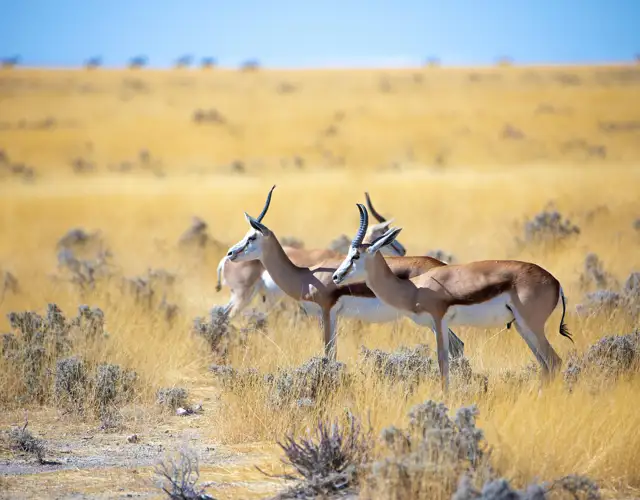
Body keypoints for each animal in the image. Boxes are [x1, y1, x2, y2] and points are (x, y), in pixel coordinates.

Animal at [332, 204, 572, 391]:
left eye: (355, 255)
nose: (336, 276)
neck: (414, 288)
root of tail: (556, 282)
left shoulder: (439, 321)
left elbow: (442, 361)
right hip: (523, 328)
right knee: (545, 365)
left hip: (532, 326)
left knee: (554, 361)